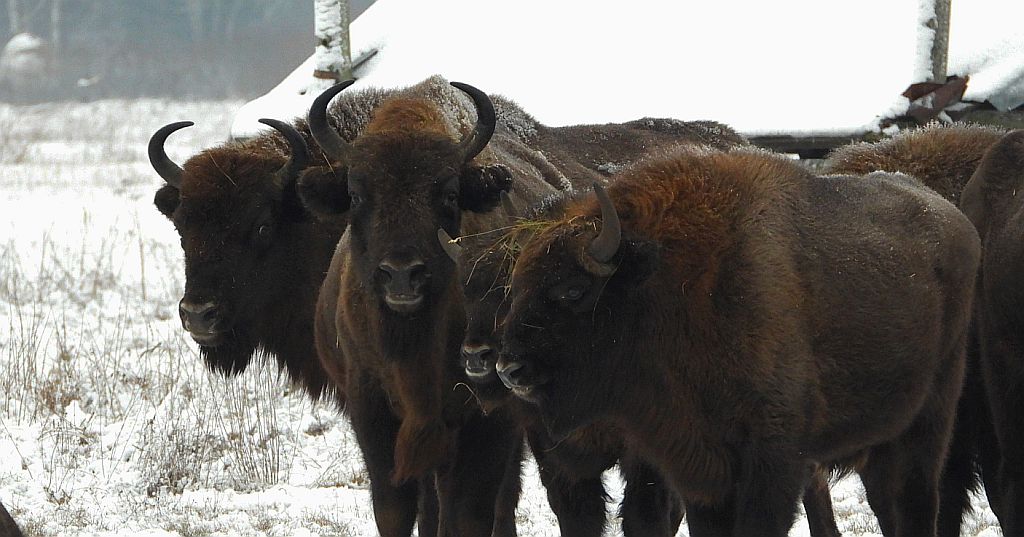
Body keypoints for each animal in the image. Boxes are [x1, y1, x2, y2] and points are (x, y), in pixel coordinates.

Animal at [497, 147, 980, 536]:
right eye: (516, 288)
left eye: (571, 290)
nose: (508, 368)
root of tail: (958, 222)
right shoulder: (699, 468)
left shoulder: (772, 458)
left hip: (930, 418)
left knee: (917, 499)